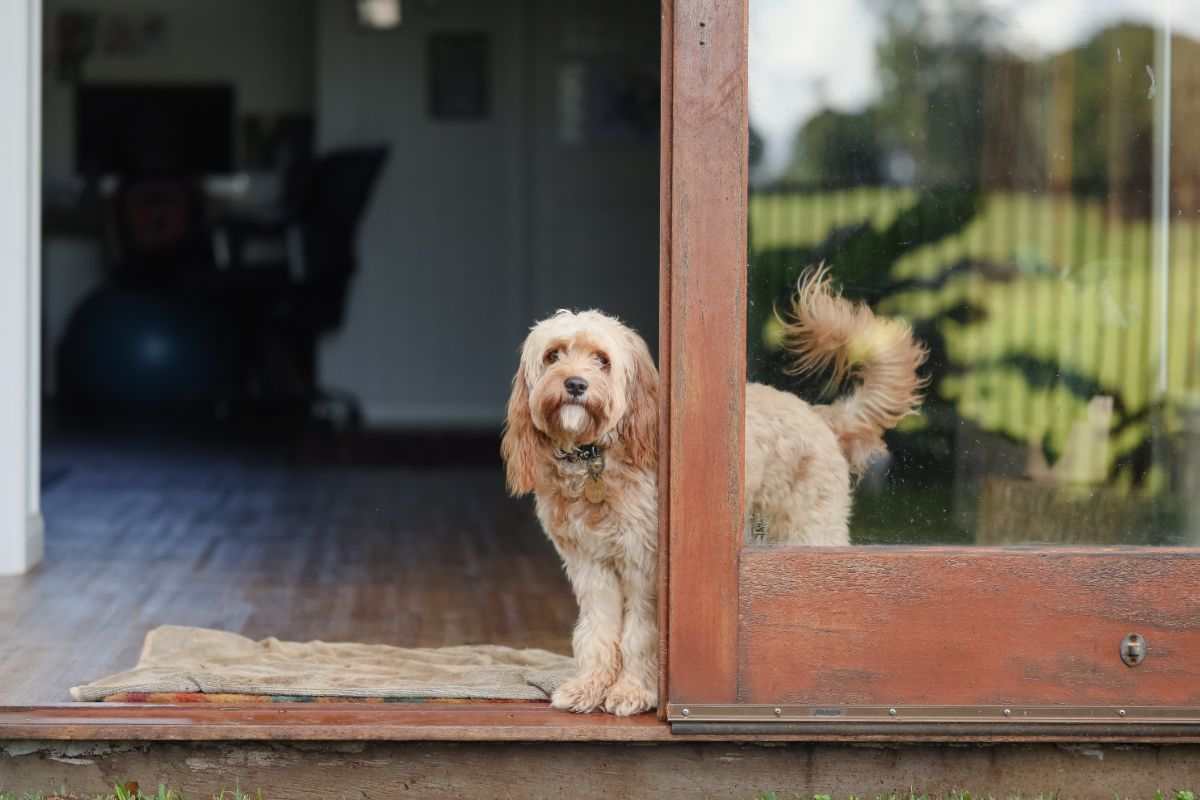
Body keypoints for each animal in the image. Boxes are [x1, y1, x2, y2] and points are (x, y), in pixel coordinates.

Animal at [501, 266, 921, 714]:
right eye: (553, 355)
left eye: (602, 359)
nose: (576, 384)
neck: (595, 456)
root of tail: (818, 414)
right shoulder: (590, 565)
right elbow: (597, 631)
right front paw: (589, 686)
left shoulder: (645, 565)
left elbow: (640, 635)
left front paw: (633, 690)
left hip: (810, 533)